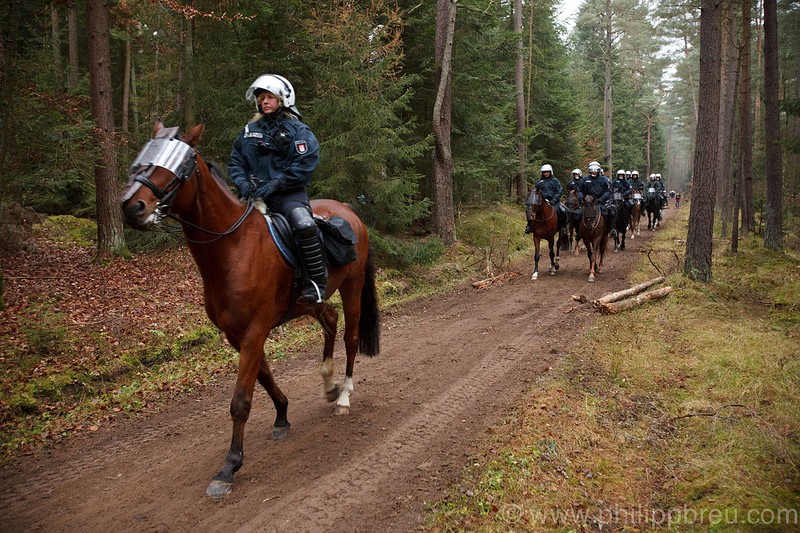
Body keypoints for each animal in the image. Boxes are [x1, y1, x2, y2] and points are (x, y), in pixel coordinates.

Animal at [119, 123, 382, 498]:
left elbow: (241, 400)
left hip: (353, 286)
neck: (233, 248)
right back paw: (329, 383)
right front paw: (282, 417)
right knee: (330, 321)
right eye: (144, 156)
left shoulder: (255, 331)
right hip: (310, 302)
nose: (132, 206)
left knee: (351, 337)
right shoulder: (237, 335)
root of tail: (350, 213)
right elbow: (265, 377)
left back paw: (343, 396)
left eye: (180, 166)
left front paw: (229, 467)